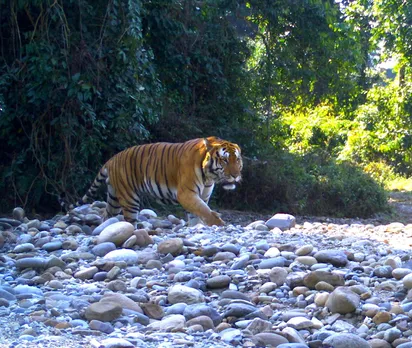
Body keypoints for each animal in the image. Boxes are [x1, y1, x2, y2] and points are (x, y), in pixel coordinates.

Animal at [76, 137, 241, 227]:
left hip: (114, 199)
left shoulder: (202, 196)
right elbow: (204, 211)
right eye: (225, 160)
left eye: (237, 159)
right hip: (129, 198)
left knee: (106, 216)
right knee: (129, 221)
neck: (209, 177)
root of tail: (112, 159)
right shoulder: (186, 194)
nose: (235, 175)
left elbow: (198, 214)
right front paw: (219, 223)